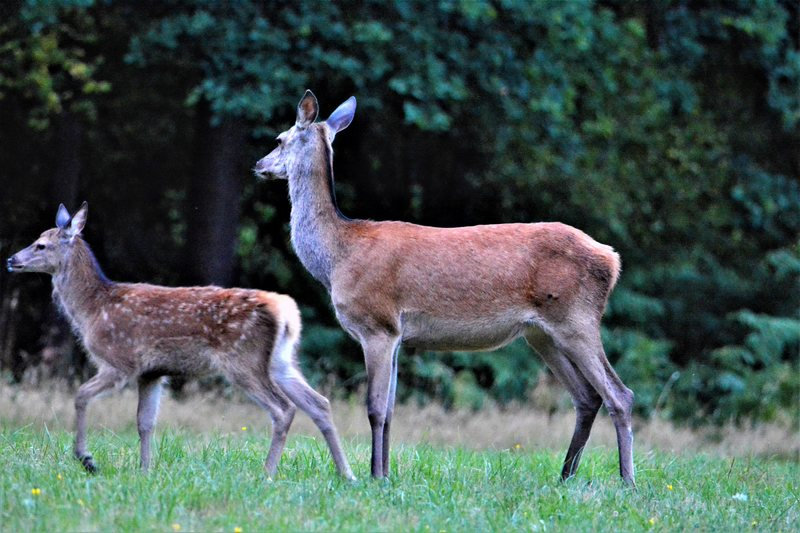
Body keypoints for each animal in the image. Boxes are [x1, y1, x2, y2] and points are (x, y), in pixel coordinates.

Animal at [4, 203, 352, 478]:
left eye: (41, 245)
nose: (11, 260)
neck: (93, 309)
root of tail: (286, 310)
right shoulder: (151, 373)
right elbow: (144, 422)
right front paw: (145, 470)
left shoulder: (120, 361)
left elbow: (80, 395)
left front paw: (86, 459)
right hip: (281, 361)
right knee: (319, 403)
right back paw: (346, 474)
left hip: (243, 359)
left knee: (283, 409)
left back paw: (267, 473)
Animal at [253, 92, 636, 486]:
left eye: (279, 140)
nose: (259, 164)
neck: (338, 257)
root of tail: (611, 259)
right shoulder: (397, 335)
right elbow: (390, 411)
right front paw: (386, 474)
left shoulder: (376, 324)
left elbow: (375, 409)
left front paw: (375, 476)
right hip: (541, 333)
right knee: (587, 397)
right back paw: (565, 476)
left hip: (576, 318)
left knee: (620, 394)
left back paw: (626, 480)